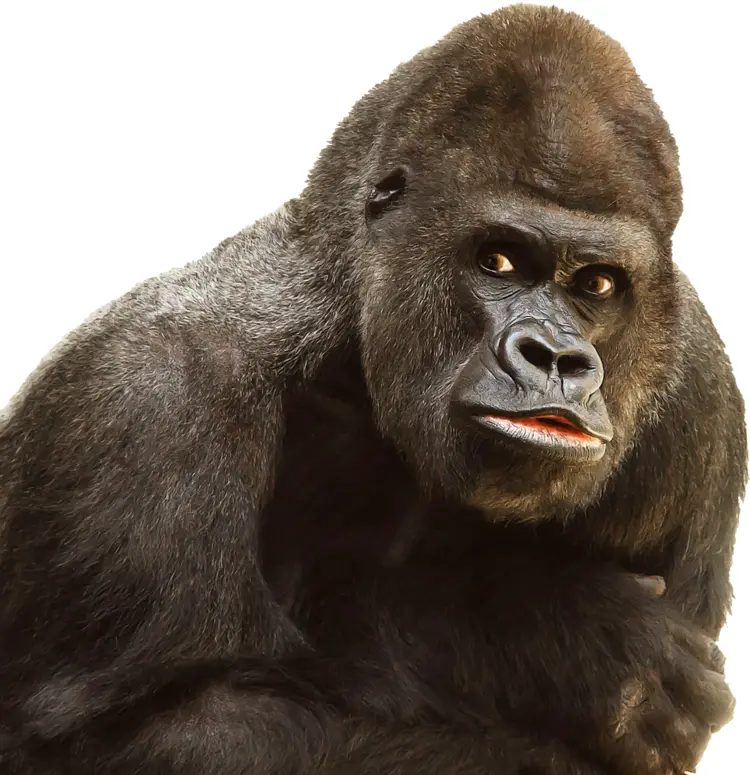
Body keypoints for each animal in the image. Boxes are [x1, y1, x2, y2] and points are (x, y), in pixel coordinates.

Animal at [0, 4, 745, 774]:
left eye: (597, 284)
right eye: (498, 261)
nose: (557, 358)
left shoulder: (699, 397)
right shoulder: (146, 397)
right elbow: (137, 732)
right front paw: (551, 636)